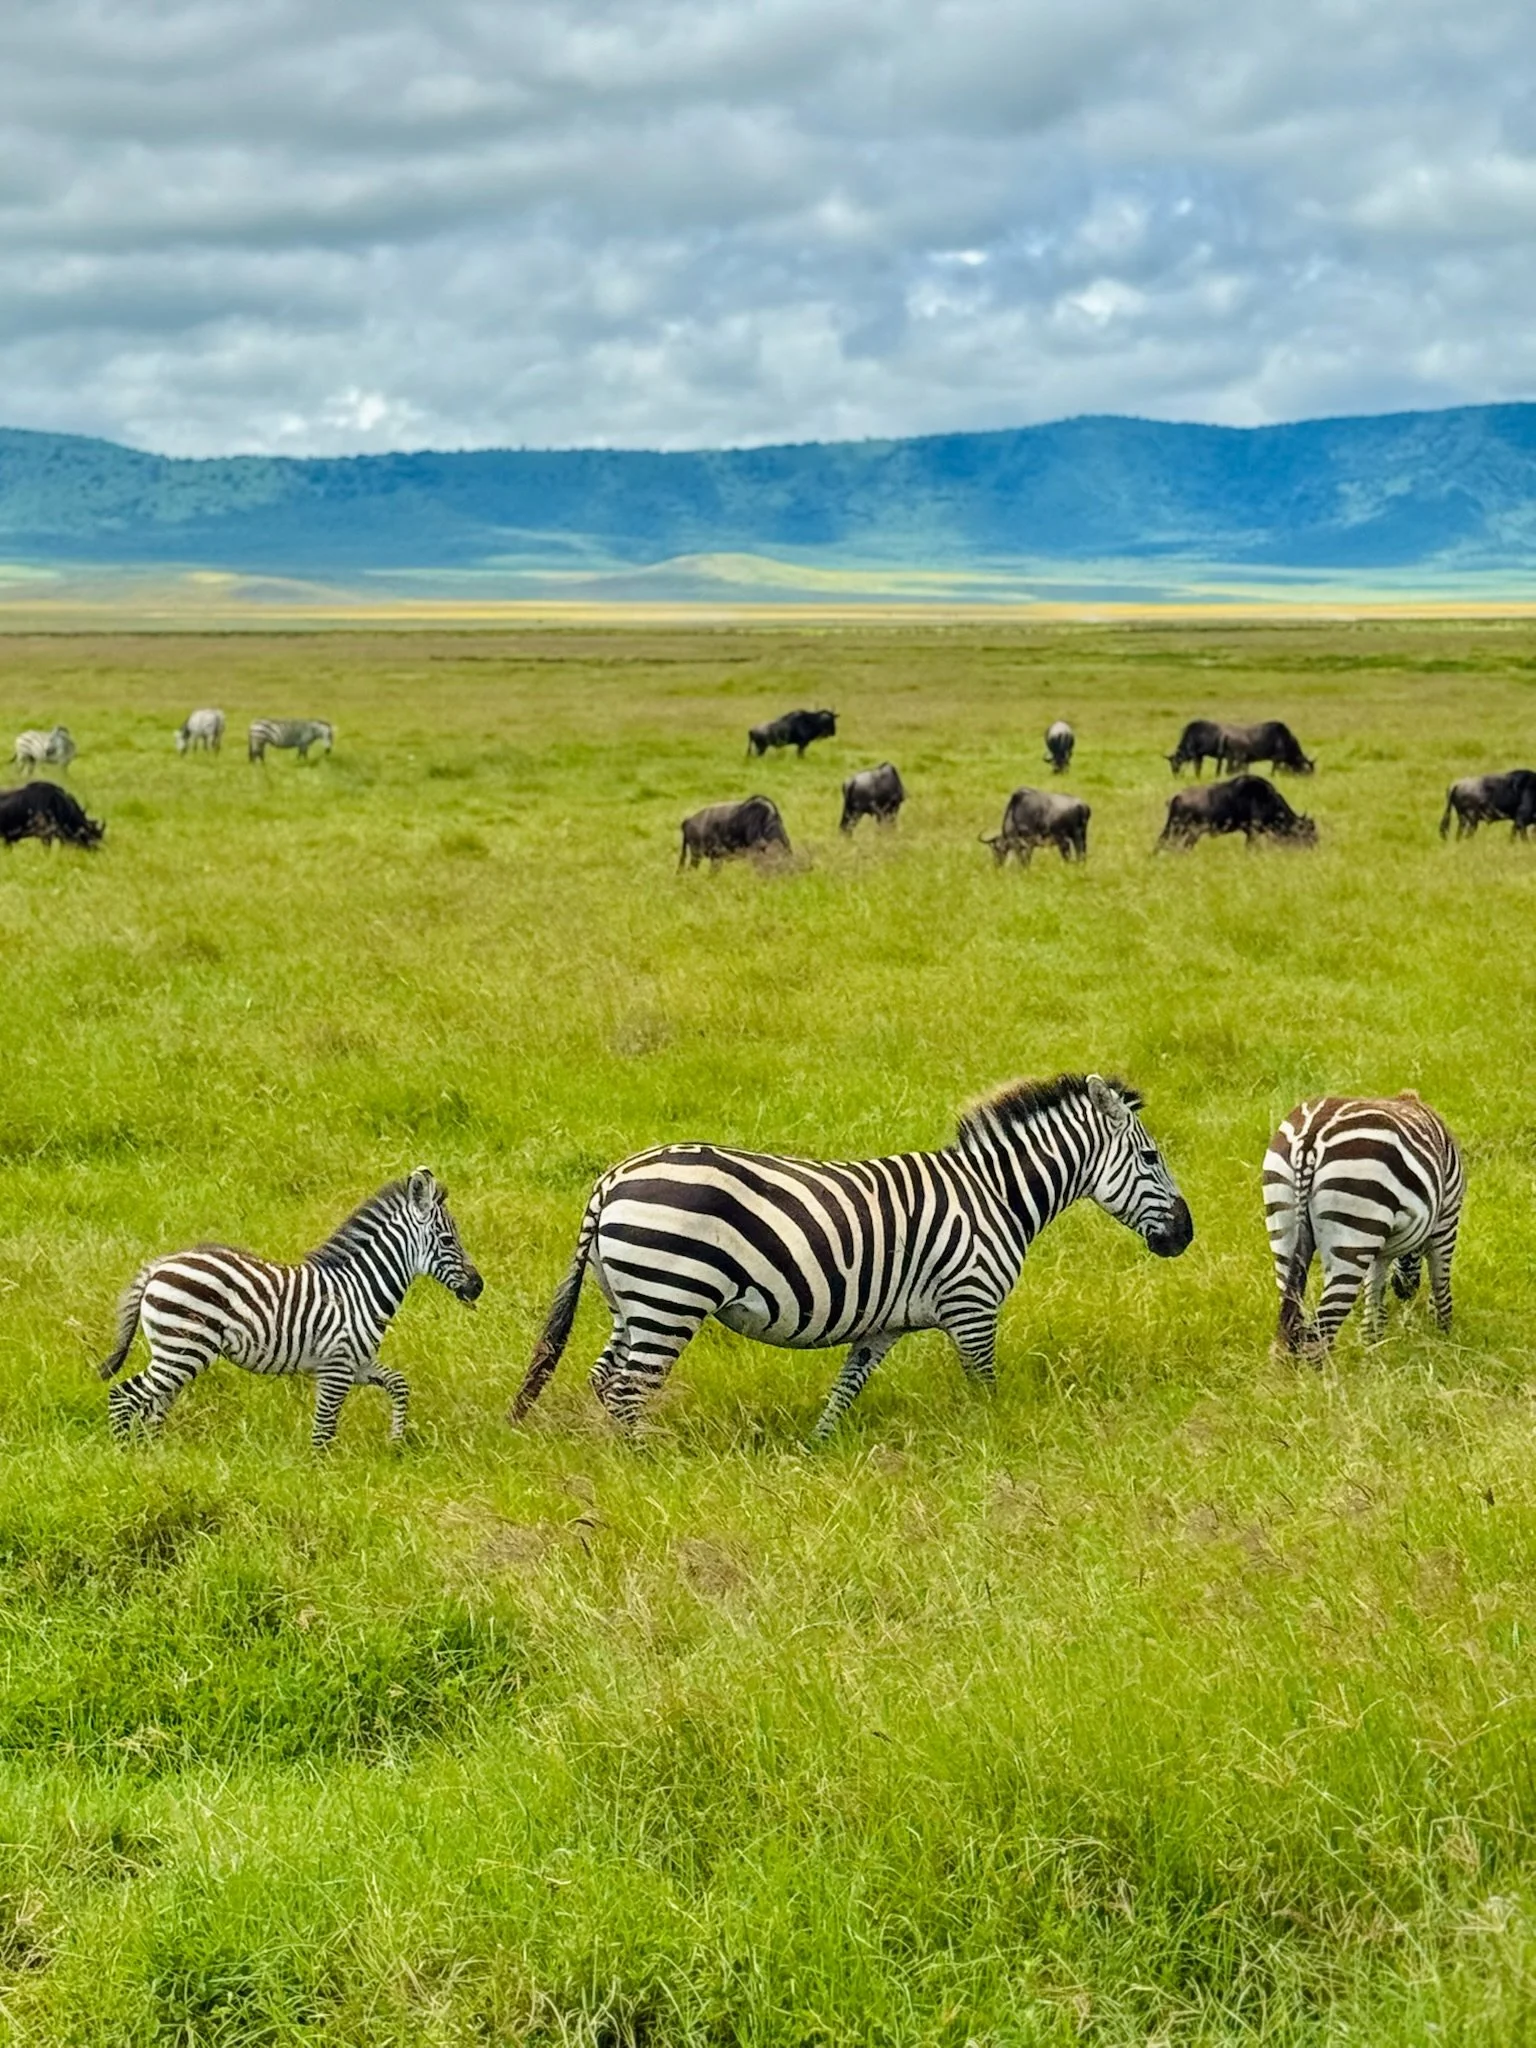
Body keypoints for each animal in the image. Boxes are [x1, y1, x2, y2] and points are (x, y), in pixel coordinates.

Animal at [97, 1168, 483, 1446]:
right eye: (448, 1240)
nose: (478, 1286)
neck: (360, 1288)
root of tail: (159, 1266)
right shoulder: (336, 1367)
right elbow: (323, 1430)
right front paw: (320, 1478)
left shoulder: (357, 1363)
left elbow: (399, 1384)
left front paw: (396, 1441)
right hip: (183, 1349)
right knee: (124, 1395)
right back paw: (126, 1457)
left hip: (175, 1352)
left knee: (152, 1405)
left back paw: (153, 1455)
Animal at [510, 1073, 1193, 1439]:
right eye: (1152, 1158)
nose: (1185, 1236)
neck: (995, 1193)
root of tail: (610, 1180)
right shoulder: (973, 1306)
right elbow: (985, 1387)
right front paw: (994, 1440)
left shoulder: (883, 1325)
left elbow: (846, 1388)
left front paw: (817, 1451)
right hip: (670, 1298)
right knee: (630, 1387)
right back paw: (650, 1463)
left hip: (632, 1299)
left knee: (606, 1380)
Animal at [1262, 1092, 1464, 1355]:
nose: (1404, 1291)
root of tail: (1311, 1136)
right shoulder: (1447, 1218)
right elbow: (1441, 1285)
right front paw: (1445, 1340)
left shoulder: (1378, 1248)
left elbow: (1373, 1296)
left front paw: (1372, 1350)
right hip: (1352, 1235)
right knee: (1319, 1335)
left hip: (1284, 1229)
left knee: (1293, 1323)